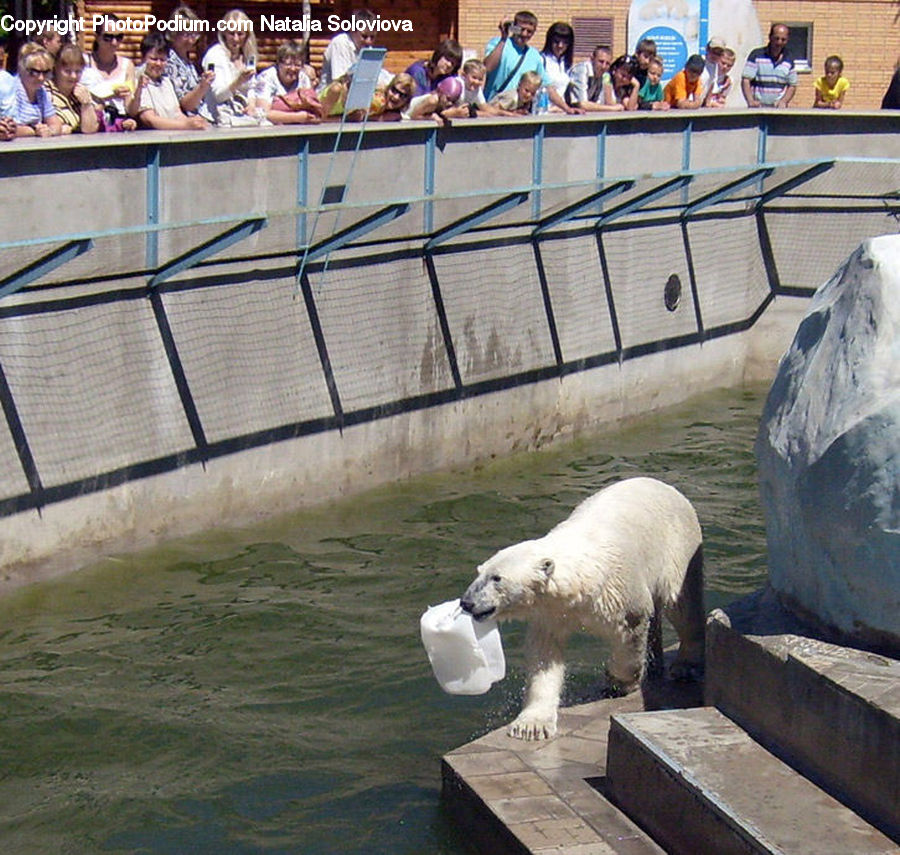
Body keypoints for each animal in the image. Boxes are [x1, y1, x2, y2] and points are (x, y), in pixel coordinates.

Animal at [460, 476, 705, 741]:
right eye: (480, 571)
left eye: (497, 578)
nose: (466, 602)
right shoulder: (550, 613)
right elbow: (545, 657)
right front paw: (531, 725)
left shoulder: (619, 594)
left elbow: (632, 628)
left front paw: (617, 682)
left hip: (678, 546)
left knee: (681, 603)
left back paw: (686, 665)